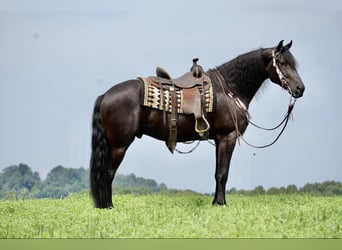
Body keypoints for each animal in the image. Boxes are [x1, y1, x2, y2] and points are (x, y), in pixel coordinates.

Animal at [90, 40, 304, 208]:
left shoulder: (219, 139)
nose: (300, 88)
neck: (229, 89)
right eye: (282, 63)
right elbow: (223, 174)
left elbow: (218, 172)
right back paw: (108, 206)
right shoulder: (227, 137)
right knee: (108, 173)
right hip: (119, 145)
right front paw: (220, 204)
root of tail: (106, 95)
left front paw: (216, 202)